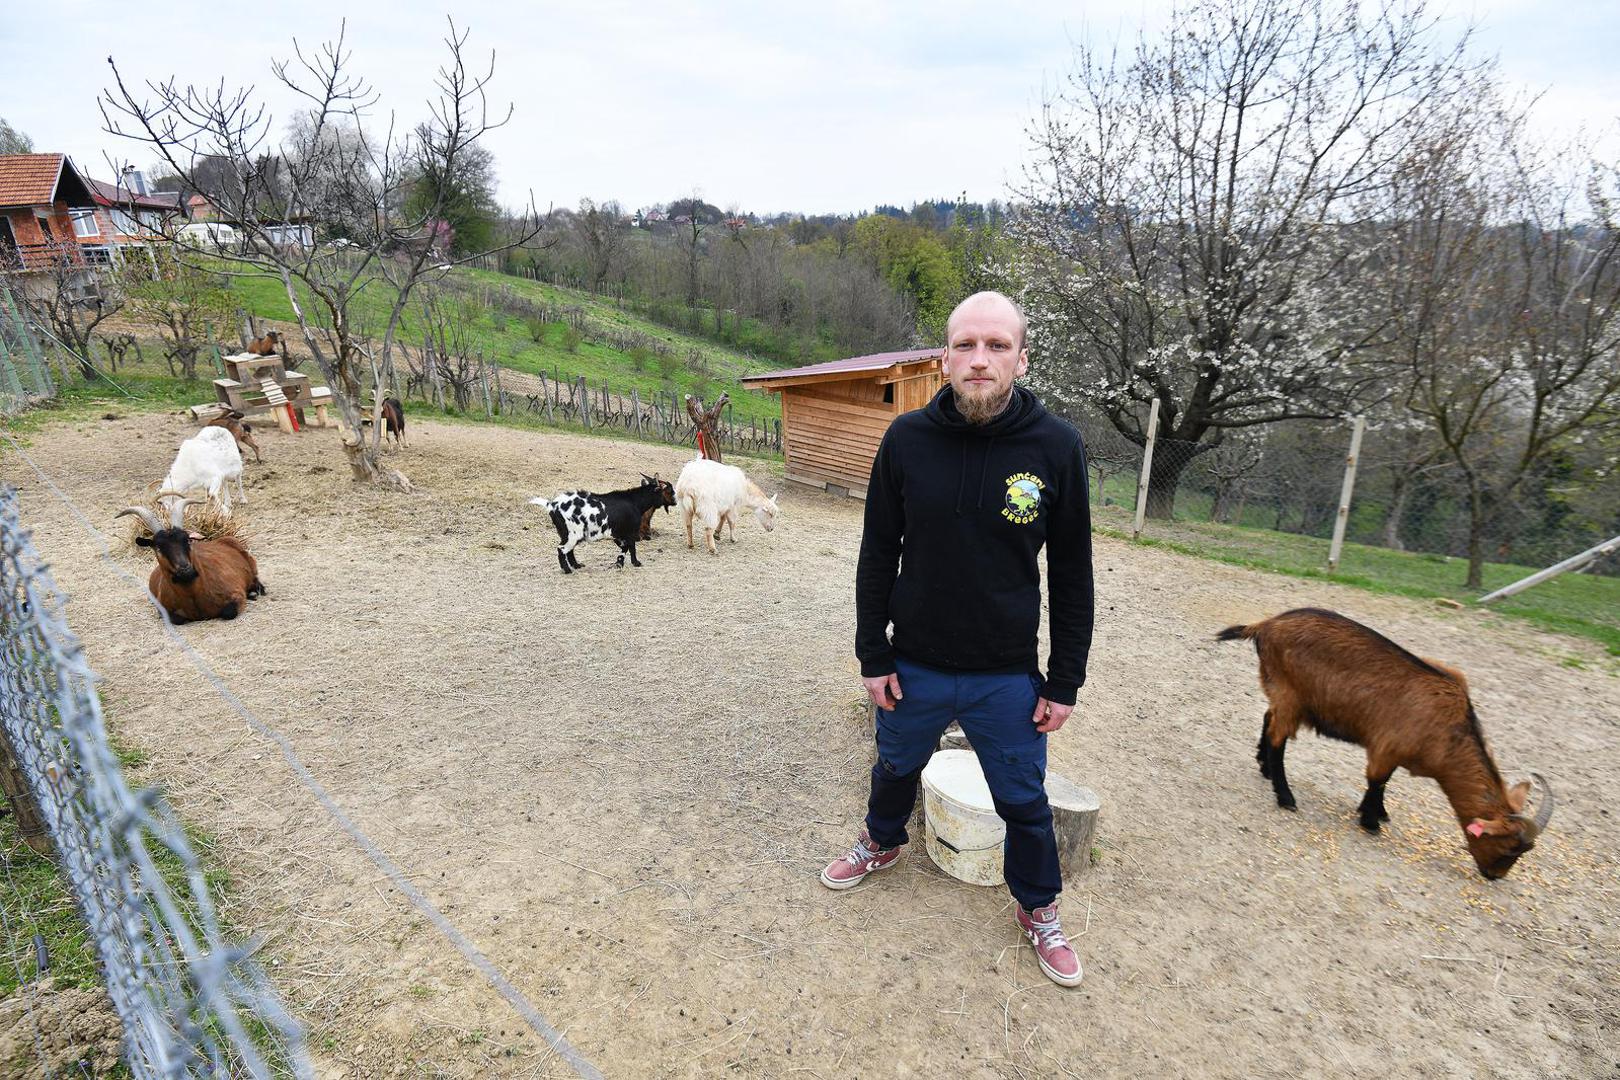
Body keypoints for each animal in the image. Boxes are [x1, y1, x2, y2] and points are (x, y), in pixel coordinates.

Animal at [528, 476, 673, 573]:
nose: (675, 501)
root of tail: (552, 505)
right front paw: (631, 563)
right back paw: (567, 570)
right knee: (562, 549)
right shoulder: (628, 532)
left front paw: (621, 563)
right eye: (668, 491)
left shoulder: (619, 534)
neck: (634, 502)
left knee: (569, 550)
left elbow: (627, 547)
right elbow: (630, 547)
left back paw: (576, 565)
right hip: (573, 533)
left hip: (568, 534)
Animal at [1218, 608, 1555, 880]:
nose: (1494, 876)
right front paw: (1370, 821)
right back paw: (1285, 796)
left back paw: (1265, 768)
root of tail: (1266, 625)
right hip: (1290, 693)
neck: (1449, 733)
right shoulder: (1386, 747)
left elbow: (1384, 783)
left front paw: (1379, 813)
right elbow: (1377, 780)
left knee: (1268, 719)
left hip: (1281, 691)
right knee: (1279, 737)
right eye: (1510, 848)